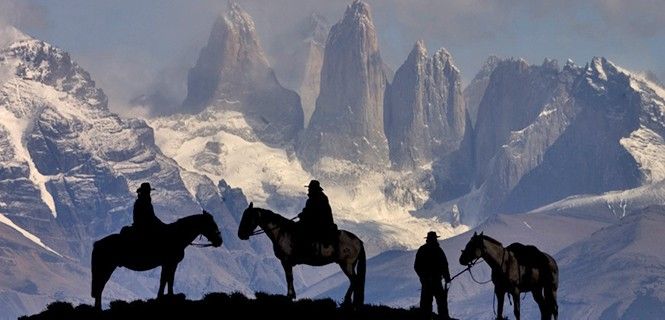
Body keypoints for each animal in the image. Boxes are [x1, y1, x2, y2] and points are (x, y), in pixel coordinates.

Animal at [91, 211, 223, 308]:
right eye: (212, 224)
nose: (219, 241)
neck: (177, 236)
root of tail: (98, 243)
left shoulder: (169, 264)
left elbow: (166, 280)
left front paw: (164, 296)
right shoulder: (170, 264)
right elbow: (167, 280)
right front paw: (165, 297)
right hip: (106, 269)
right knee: (99, 287)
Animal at [237, 202, 366, 310]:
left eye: (247, 217)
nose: (240, 235)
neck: (281, 232)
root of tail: (358, 241)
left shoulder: (286, 261)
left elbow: (289, 277)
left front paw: (290, 296)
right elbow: (290, 278)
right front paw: (292, 295)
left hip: (346, 264)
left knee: (354, 280)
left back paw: (346, 302)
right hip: (350, 265)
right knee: (355, 281)